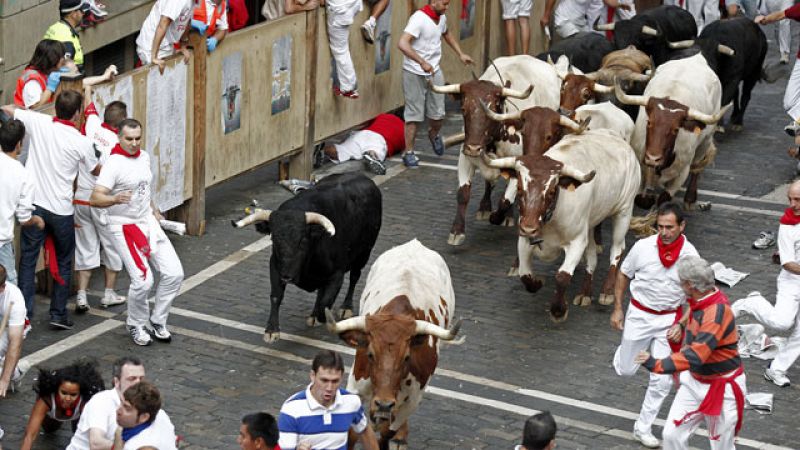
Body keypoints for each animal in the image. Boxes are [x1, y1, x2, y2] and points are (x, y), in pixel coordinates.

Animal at [230, 171, 382, 342]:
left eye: (302, 240)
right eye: (273, 238)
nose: (287, 276)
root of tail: (365, 178)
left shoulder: (337, 274)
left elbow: (326, 303)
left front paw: (323, 317)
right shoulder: (275, 267)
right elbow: (276, 296)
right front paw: (271, 330)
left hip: (364, 253)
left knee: (355, 277)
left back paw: (345, 307)